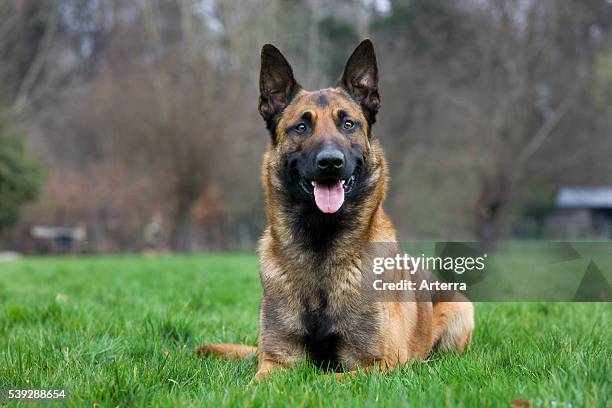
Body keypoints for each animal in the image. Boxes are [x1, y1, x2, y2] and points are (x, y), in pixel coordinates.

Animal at [196, 39, 474, 380]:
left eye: (348, 123)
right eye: (301, 126)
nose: (330, 162)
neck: (321, 246)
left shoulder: (381, 365)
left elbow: (326, 378)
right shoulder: (275, 362)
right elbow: (259, 381)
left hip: (462, 311)